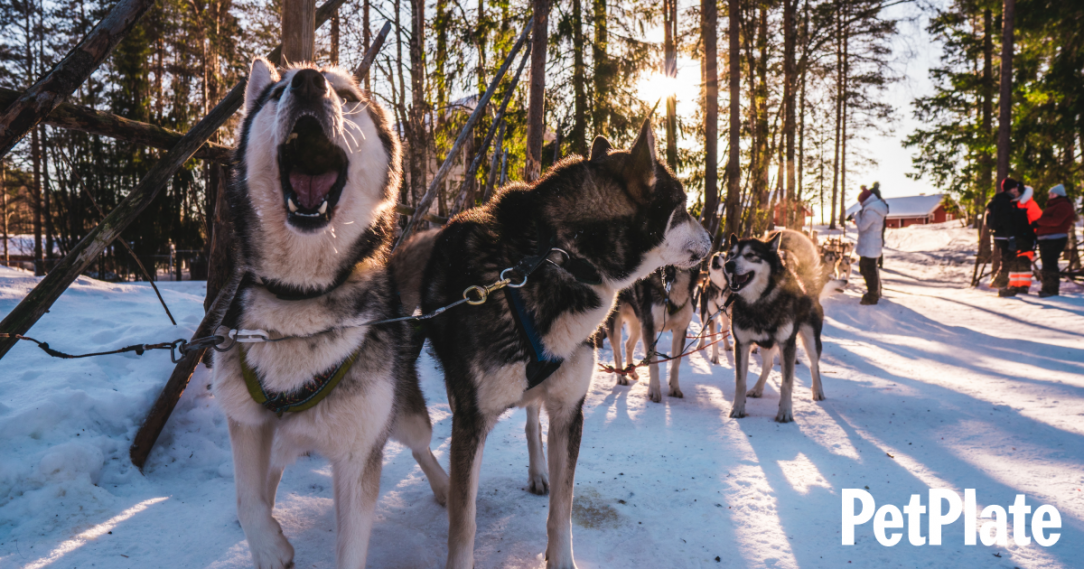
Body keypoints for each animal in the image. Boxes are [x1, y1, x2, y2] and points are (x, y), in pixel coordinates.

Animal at [211, 58, 448, 567]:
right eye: (277, 92)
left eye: (347, 96)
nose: (307, 82)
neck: (300, 295)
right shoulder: (246, 422)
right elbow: (245, 500)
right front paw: (269, 546)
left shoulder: (360, 454)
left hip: (405, 417)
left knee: (423, 448)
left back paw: (443, 485)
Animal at [607, 265, 698, 398]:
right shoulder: (650, 328)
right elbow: (654, 363)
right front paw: (654, 390)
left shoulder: (680, 330)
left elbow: (676, 363)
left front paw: (675, 388)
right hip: (617, 324)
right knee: (617, 352)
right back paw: (621, 377)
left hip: (639, 325)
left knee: (628, 345)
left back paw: (631, 371)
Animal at [724, 227, 823, 420]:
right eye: (731, 254)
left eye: (750, 255)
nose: (728, 265)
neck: (760, 301)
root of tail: (805, 280)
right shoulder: (742, 344)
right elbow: (740, 381)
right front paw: (738, 408)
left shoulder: (787, 345)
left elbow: (787, 383)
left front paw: (785, 412)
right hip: (766, 345)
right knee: (768, 365)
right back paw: (757, 389)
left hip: (810, 341)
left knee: (814, 365)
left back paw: (818, 391)